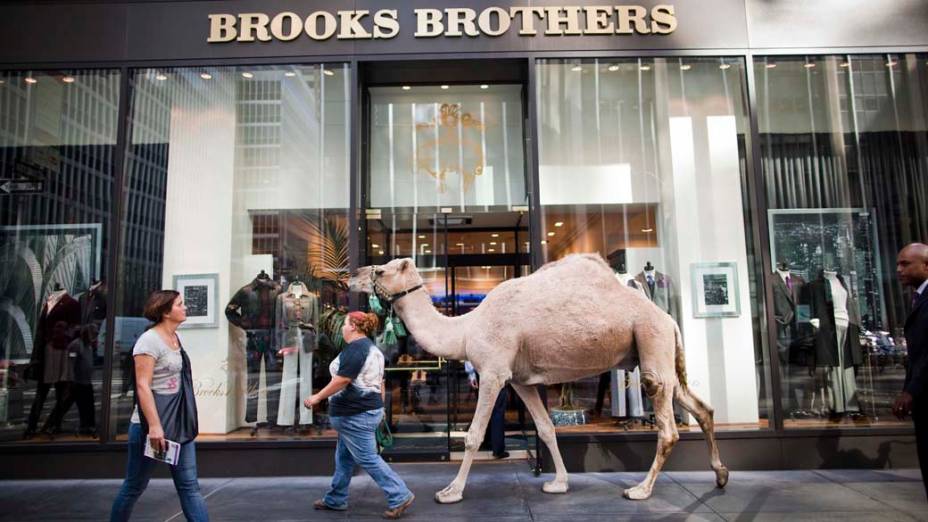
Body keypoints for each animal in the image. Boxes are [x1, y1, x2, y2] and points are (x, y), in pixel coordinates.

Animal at [346, 252, 724, 500]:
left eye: (381, 270)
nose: (352, 274)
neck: (466, 329)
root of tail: (668, 319)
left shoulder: (493, 372)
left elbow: (474, 435)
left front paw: (451, 490)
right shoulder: (520, 381)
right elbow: (545, 429)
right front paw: (558, 483)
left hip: (650, 342)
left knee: (667, 423)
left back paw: (641, 489)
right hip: (660, 354)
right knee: (701, 407)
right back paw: (720, 475)